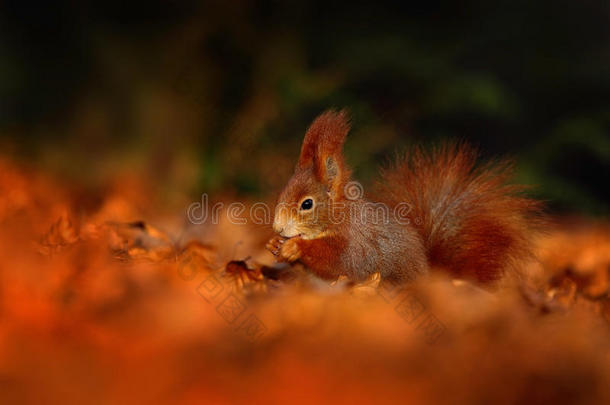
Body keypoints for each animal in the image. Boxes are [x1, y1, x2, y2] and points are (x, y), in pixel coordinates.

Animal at [266, 109, 540, 282]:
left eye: (307, 204)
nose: (278, 227)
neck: (338, 219)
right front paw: (274, 244)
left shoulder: (356, 245)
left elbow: (339, 261)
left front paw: (295, 246)